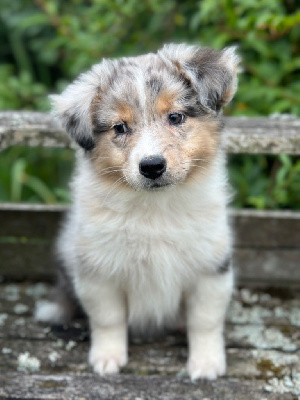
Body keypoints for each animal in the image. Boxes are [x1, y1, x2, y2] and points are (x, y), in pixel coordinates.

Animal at [35, 44, 239, 382]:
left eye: (176, 117)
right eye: (120, 127)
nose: (152, 166)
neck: (154, 208)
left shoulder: (210, 267)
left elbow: (205, 320)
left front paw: (206, 364)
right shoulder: (98, 271)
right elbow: (108, 319)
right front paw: (107, 358)